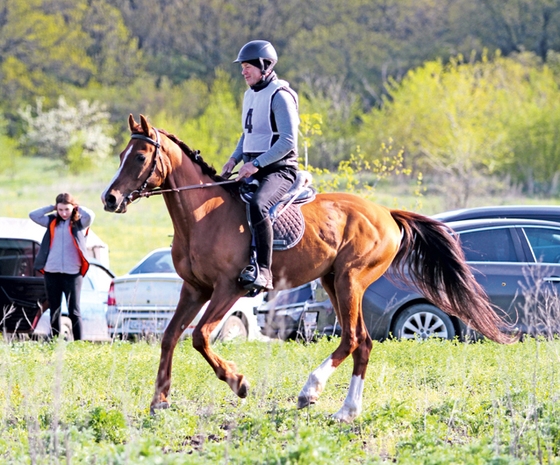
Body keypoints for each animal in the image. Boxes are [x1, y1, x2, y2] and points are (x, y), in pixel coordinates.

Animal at [101, 114, 516, 422]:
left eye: (140, 158)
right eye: (121, 154)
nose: (110, 199)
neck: (203, 215)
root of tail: (387, 213)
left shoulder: (230, 288)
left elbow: (200, 337)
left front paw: (238, 382)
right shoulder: (194, 289)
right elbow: (170, 336)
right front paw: (160, 402)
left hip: (351, 280)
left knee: (353, 339)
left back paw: (311, 391)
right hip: (333, 281)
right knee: (361, 341)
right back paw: (346, 410)